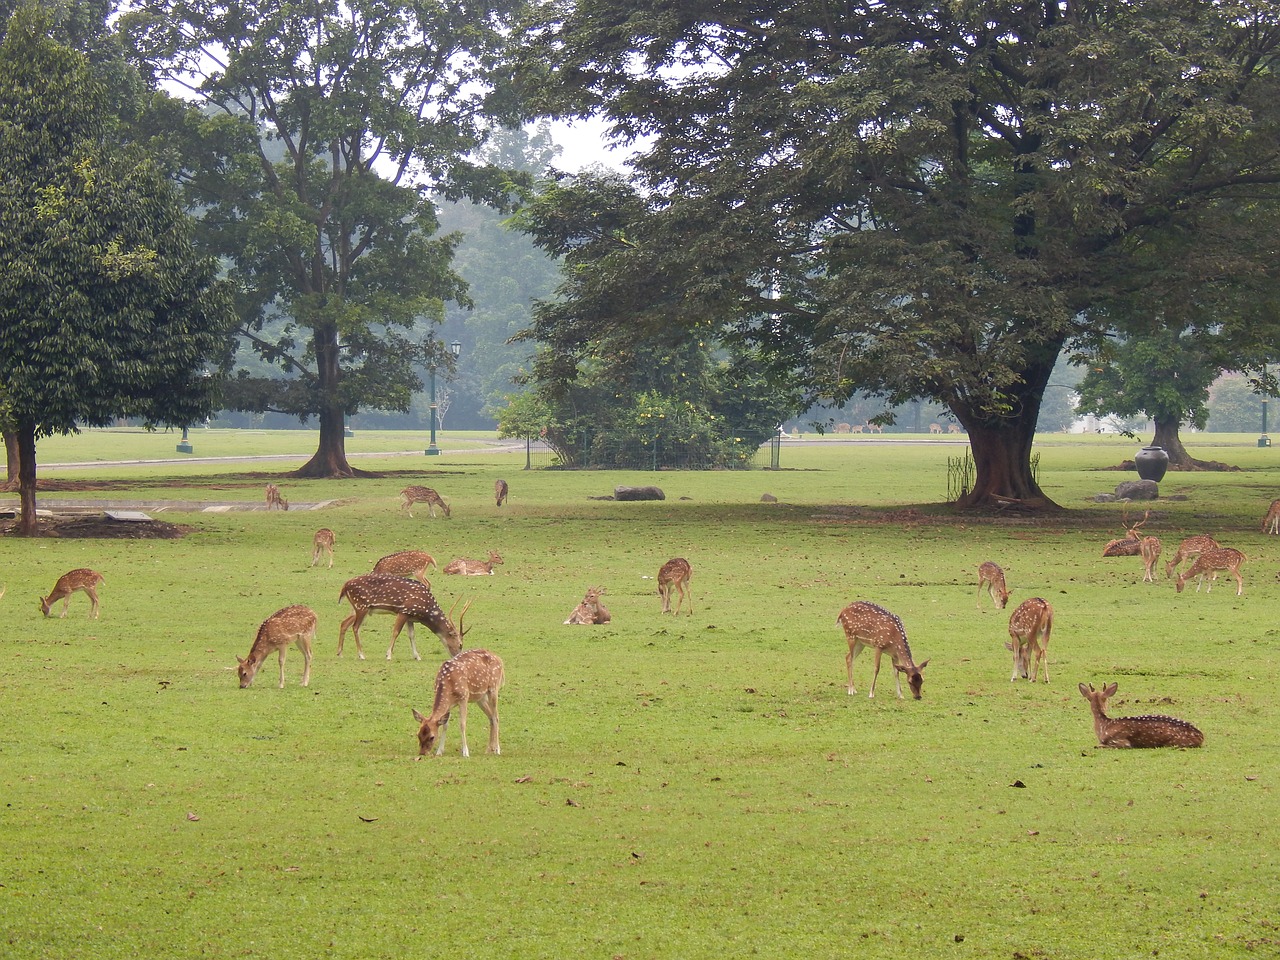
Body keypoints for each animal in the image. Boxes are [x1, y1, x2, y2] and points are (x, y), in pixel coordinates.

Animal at [332, 570, 468, 660]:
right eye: (460, 644)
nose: (457, 656)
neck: (425, 611)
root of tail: (344, 587)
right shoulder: (404, 611)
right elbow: (396, 632)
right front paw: (388, 655)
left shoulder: (410, 617)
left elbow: (411, 635)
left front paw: (417, 656)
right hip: (361, 606)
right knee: (355, 627)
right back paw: (361, 655)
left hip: (357, 608)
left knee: (344, 623)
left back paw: (340, 653)